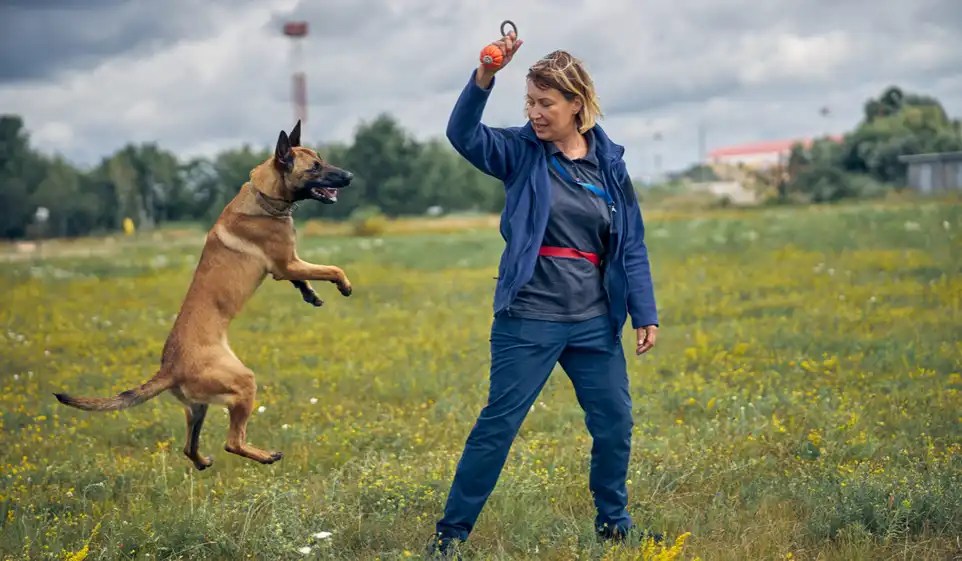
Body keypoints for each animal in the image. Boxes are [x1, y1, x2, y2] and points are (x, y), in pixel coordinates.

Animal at [53, 121, 352, 468]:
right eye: (314, 167)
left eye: (321, 160)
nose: (349, 176)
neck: (264, 195)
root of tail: (169, 369)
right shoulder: (288, 263)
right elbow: (331, 268)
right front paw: (343, 285)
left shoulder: (288, 267)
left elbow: (305, 280)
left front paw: (311, 295)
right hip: (243, 383)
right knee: (233, 442)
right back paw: (266, 456)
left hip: (198, 407)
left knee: (189, 446)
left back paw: (202, 462)